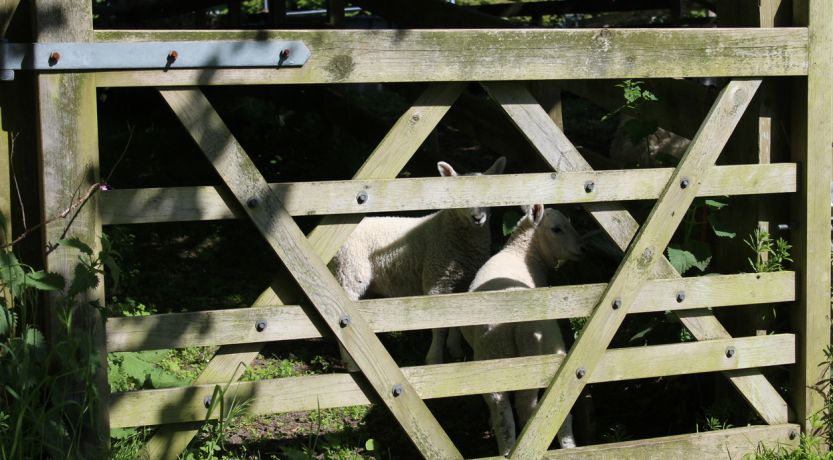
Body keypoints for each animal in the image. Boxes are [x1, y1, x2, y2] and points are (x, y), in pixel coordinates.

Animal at [332, 156, 508, 368]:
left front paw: (455, 350)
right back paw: (350, 361)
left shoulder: (460, 284)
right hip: (350, 272)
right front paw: (434, 359)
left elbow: (456, 321)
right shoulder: (437, 282)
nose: (478, 218)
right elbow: (439, 326)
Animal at [462, 203, 584, 454]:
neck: (519, 252)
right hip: (545, 353)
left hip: (493, 359)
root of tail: (519, 326)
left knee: (505, 415)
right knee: (546, 407)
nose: (582, 249)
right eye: (557, 229)